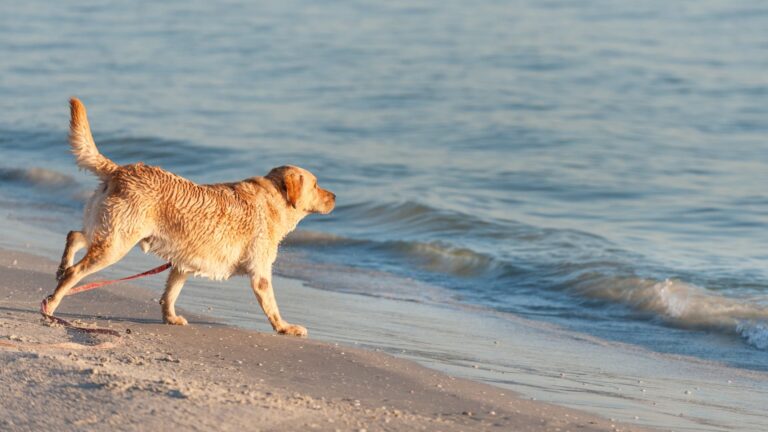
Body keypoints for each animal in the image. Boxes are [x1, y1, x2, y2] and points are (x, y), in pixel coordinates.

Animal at [46, 98, 334, 338]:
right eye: (316, 184)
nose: (334, 196)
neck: (273, 200)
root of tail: (120, 170)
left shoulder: (182, 264)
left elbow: (170, 294)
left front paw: (170, 317)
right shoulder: (260, 274)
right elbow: (272, 306)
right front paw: (285, 327)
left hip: (107, 232)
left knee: (74, 235)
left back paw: (61, 267)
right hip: (116, 244)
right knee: (75, 271)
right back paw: (52, 301)